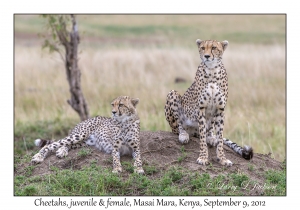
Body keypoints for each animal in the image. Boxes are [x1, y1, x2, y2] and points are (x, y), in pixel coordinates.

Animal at [164, 38, 253, 166]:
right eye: (202, 48)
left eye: (214, 48)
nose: (206, 56)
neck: (212, 70)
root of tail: (192, 132)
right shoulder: (201, 108)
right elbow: (202, 138)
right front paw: (203, 157)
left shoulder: (220, 109)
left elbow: (220, 137)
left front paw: (222, 158)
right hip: (173, 94)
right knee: (178, 126)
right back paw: (183, 135)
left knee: (209, 130)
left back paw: (211, 137)